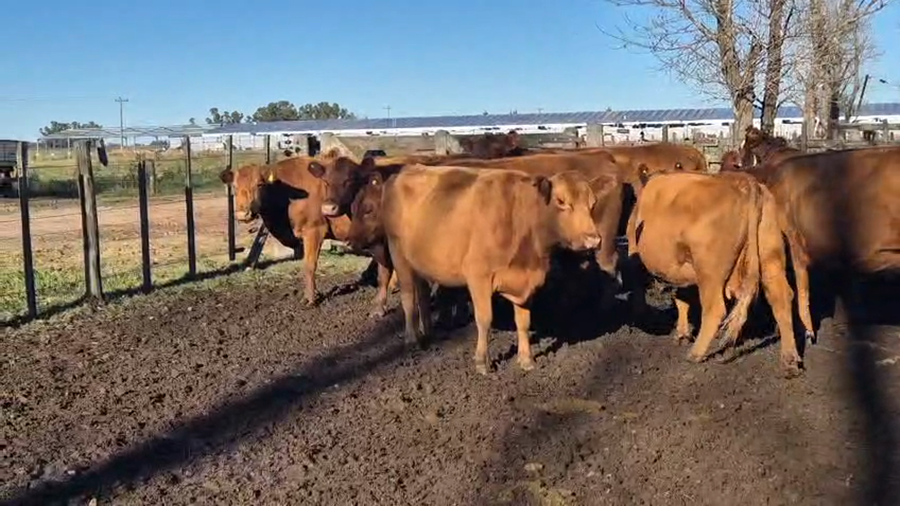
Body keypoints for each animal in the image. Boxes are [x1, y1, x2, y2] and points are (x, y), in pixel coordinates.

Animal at [382, 164, 609, 374]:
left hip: (420, 262)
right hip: (398, 254)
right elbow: (484, 319)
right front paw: (483, 362)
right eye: (561, 201)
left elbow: (523, 321)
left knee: (421, 295)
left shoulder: (527, 282)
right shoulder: (479, 276)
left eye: (593, 203)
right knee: (408, 298)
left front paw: (526, 359)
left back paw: (428, 333)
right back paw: (412, 340)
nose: (593, 239)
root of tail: (407, 170)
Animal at [626, 169, 802, 376]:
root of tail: (743, 181)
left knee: (715, 309)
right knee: (781, 298)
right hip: (770, 257)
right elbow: (682, 299)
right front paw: (682, 333)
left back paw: (696, 354)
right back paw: (790, 360)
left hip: (710, 273)